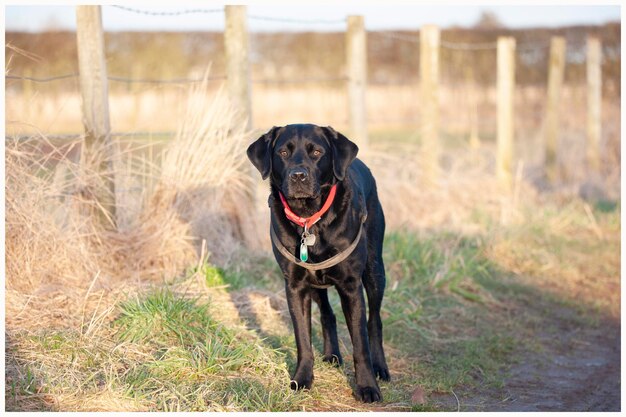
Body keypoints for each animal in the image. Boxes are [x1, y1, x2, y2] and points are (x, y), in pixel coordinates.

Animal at [246, 122, 388, 400]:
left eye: (317, 152)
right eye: (283, 152)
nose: (298, 176)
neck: (309, 219)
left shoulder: (351, 286)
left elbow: (360, 344)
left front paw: (367, 387)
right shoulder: (295, 286)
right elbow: (302, 338)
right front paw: (302, 378)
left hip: (375, 269)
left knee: (374, 321)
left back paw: (381, 367)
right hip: (315, 282)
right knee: (327, 313)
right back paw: (332, 354)